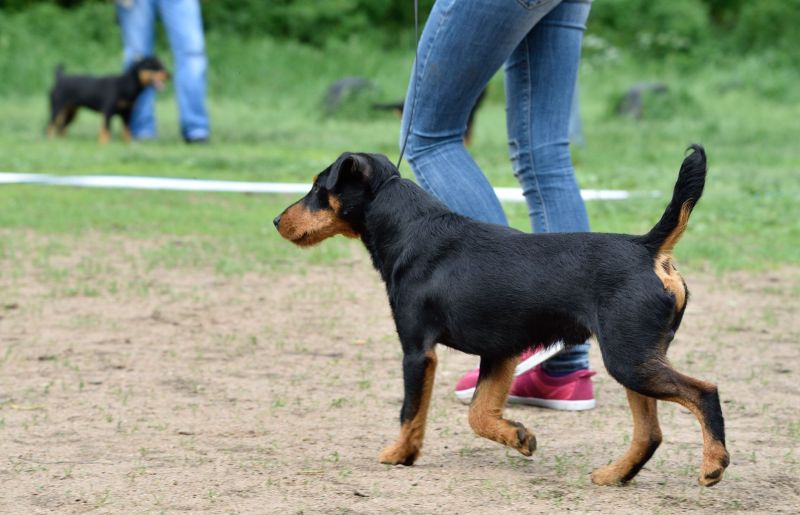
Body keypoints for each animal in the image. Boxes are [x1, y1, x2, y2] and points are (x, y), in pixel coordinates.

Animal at [276, 145, 732, 488]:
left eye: (318, 188)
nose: (278, 219)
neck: (409, 229)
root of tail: (649, 247)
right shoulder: (500, 352)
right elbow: (478, 413)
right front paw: (518, 436)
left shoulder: (417, 350)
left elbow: (411, 410)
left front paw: (399, 454)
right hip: (633, 358)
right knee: (650, 433)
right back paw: (614, 474)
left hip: (629, 359)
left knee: (703, 392)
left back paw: (713, 464)